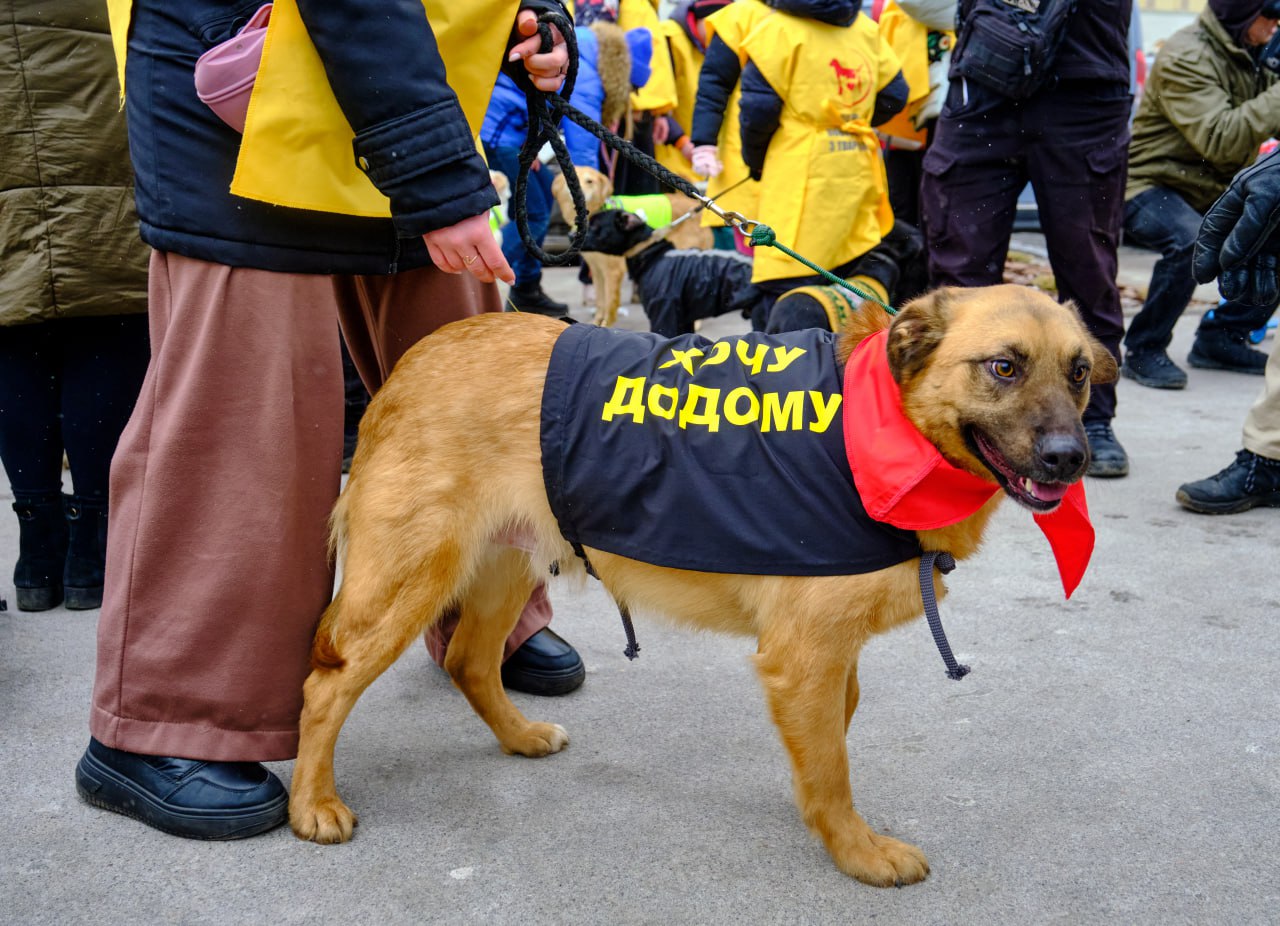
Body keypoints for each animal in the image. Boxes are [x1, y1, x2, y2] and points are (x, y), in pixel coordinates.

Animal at [288, 285, 1111, 886]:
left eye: (1077, 371)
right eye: (1003, 367)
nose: (1070, 459)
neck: (880, 428)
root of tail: (410, 363)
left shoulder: (825, 658)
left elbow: (833, 737)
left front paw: (816, 811)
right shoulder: (804, 656)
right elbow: (833, 764)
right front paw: (854, 848)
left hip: (502, 570)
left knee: (467, 661)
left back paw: (518, 737)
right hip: (403, 586)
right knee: (324, 687)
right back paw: (313, 804)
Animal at [547, 165, 716, 327]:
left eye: (590, 181)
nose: (577, 194)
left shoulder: (613, 271)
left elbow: (609, 303)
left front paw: (605, 324)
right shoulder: (596, 269)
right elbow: (601, 301)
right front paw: (596, 322)